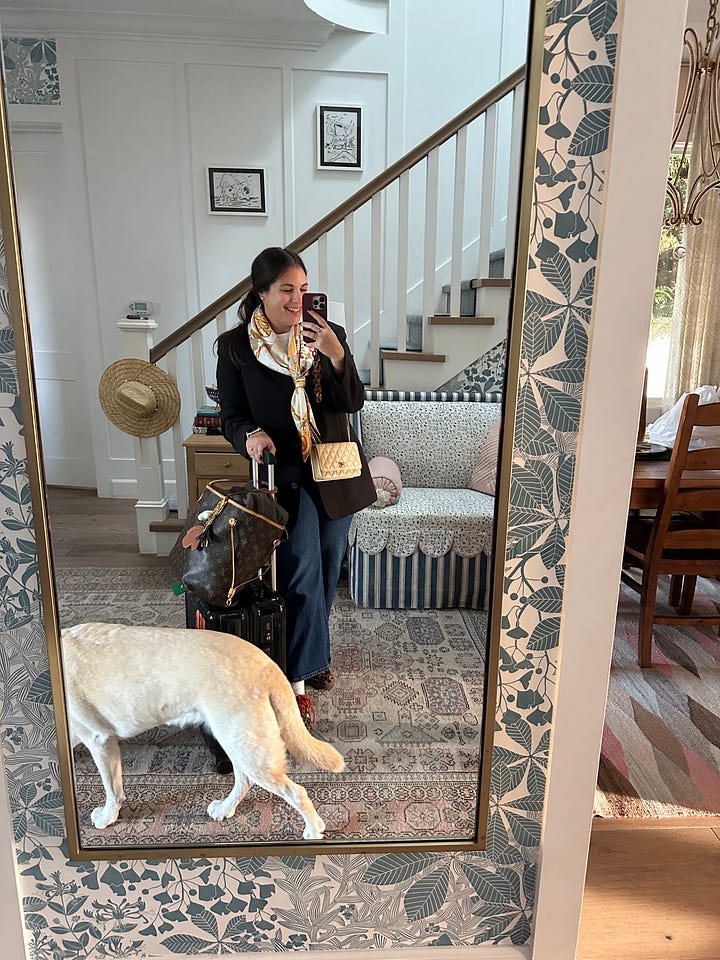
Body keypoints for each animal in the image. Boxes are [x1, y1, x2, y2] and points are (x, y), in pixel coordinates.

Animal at [61, 622, 344, 840]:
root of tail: (269, 665)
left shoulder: (99, 739)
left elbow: (111, 788)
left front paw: (107, 816)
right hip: (237, 742)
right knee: (244, 781)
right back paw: (224, 809)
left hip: (248, 749)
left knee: (295, 791)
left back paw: (314, 829)